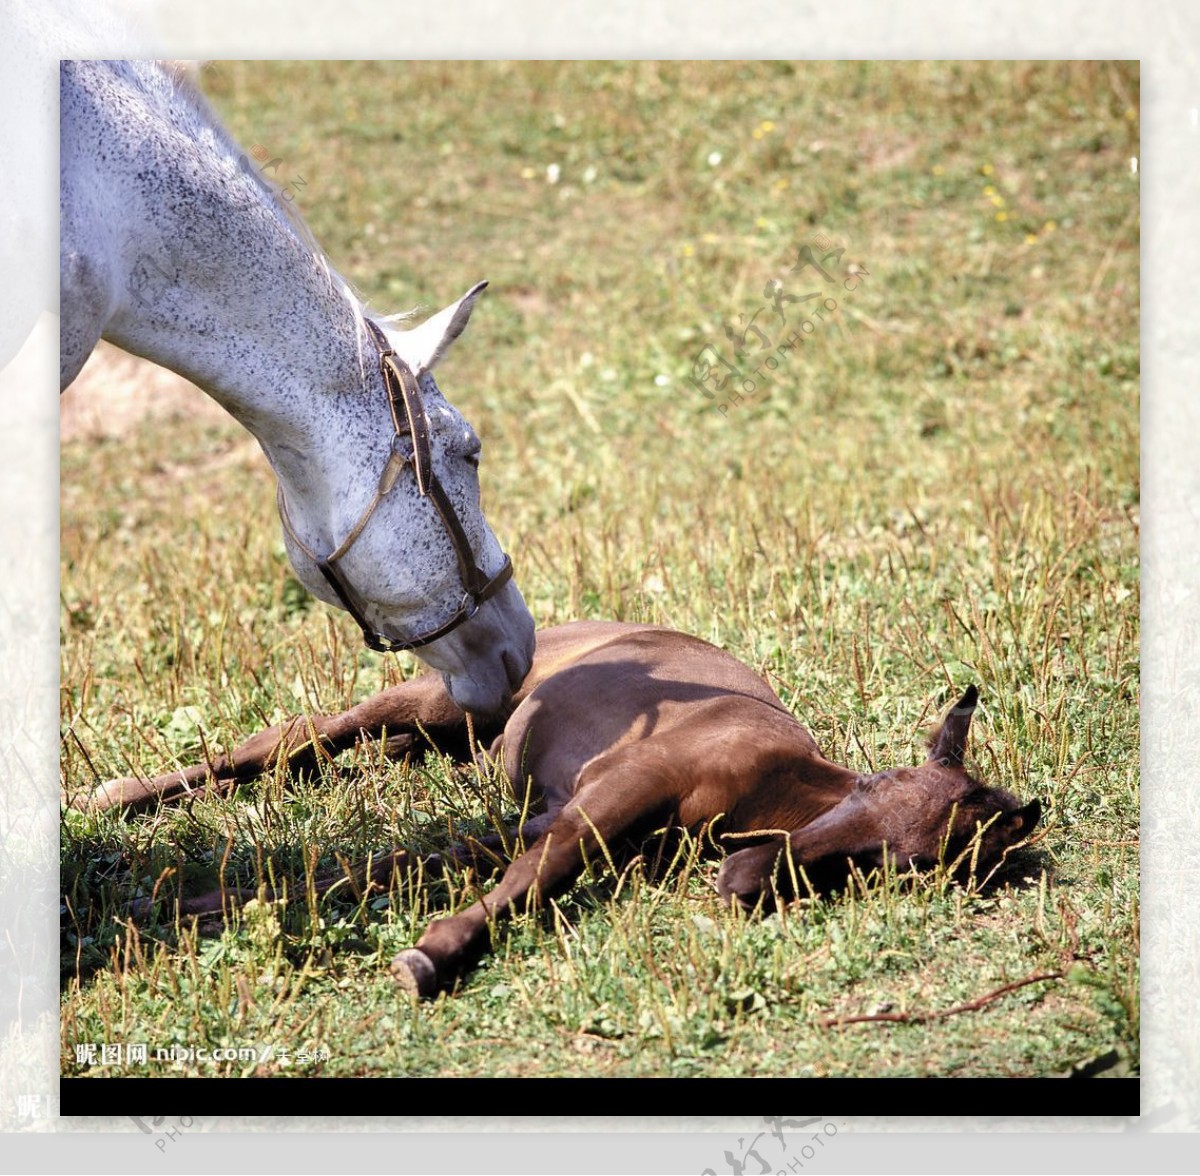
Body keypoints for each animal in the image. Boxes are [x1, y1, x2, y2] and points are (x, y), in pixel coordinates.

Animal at [82, 619, 1041, 998]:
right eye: (875, 791)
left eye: (902, 866)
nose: (741, 881)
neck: (766, 780)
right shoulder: (604, 800)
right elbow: (534, 878)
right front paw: (430, 959)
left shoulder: (553, 818)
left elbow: (392, 864)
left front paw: (190, 906)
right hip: (435, 702)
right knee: (294, 739)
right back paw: (116, 798)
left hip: (449, 741)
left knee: (335, 768)